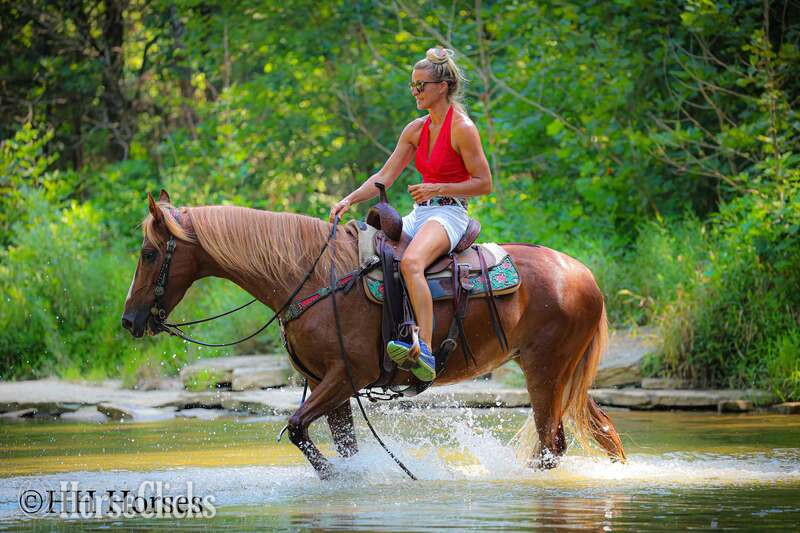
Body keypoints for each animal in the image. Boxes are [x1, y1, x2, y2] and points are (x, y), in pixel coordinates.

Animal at [121, 190, 626, 479]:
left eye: (149, 253)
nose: (129, 321)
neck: (312, 277)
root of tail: (583, 274)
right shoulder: (329, 385)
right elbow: (335, 444)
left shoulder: (345, 377)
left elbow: (297, 428)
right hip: (561, 373)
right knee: (596, 431)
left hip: (546, 372)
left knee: (552, 447)